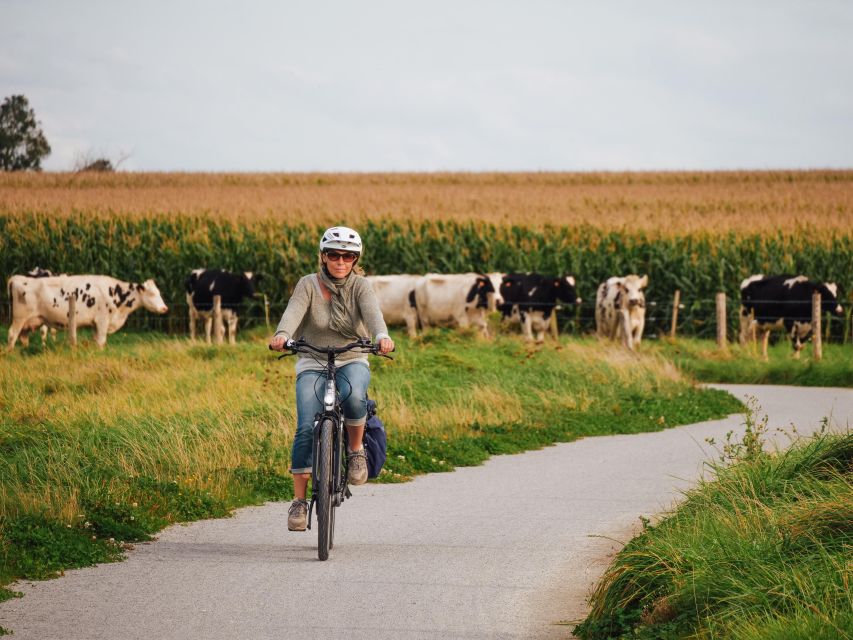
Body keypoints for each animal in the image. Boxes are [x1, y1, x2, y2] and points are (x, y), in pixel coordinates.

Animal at [7, 272, 168, 348]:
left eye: (159, 292)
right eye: (152, 293)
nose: (165, 308)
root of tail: (17, 278)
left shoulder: (95, 324)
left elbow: (97, 341)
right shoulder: (102, 320)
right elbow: (102, 341)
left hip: (29, 322)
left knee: (23, 337)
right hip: (19, 318)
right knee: (12, 334)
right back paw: (10, 353)